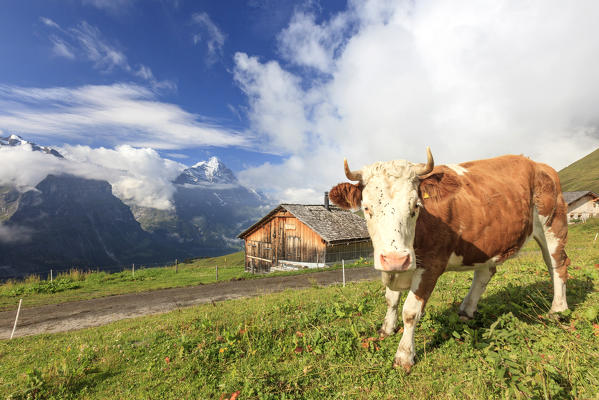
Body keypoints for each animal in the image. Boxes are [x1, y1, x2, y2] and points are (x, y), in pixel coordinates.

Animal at [330, 148, 568, 374]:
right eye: (367, 208)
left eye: (415, 206)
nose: (396, 258)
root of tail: (538, 164)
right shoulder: (394, 265)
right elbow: (391, 299)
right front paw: (386, 329)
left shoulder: (431, 265)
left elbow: (410, 312)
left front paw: (404, 355)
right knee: (485, 273)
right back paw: (466, 310)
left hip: (552, 224)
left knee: (557, 264)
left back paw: (557, 310)